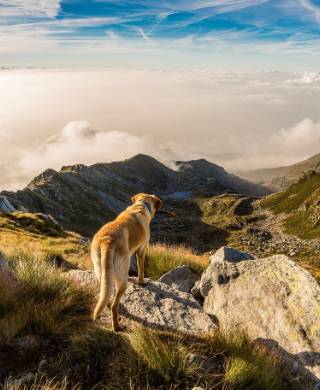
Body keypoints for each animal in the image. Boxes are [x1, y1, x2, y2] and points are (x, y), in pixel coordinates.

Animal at [92, 192, 162, 330]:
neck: (141, 204)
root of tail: (107, 241)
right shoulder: (141, 250)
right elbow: (141, 270)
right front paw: (142, 282)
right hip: (122, 280)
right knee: (115, 306)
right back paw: (116, 326)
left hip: (102, 272)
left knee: (106, 295)